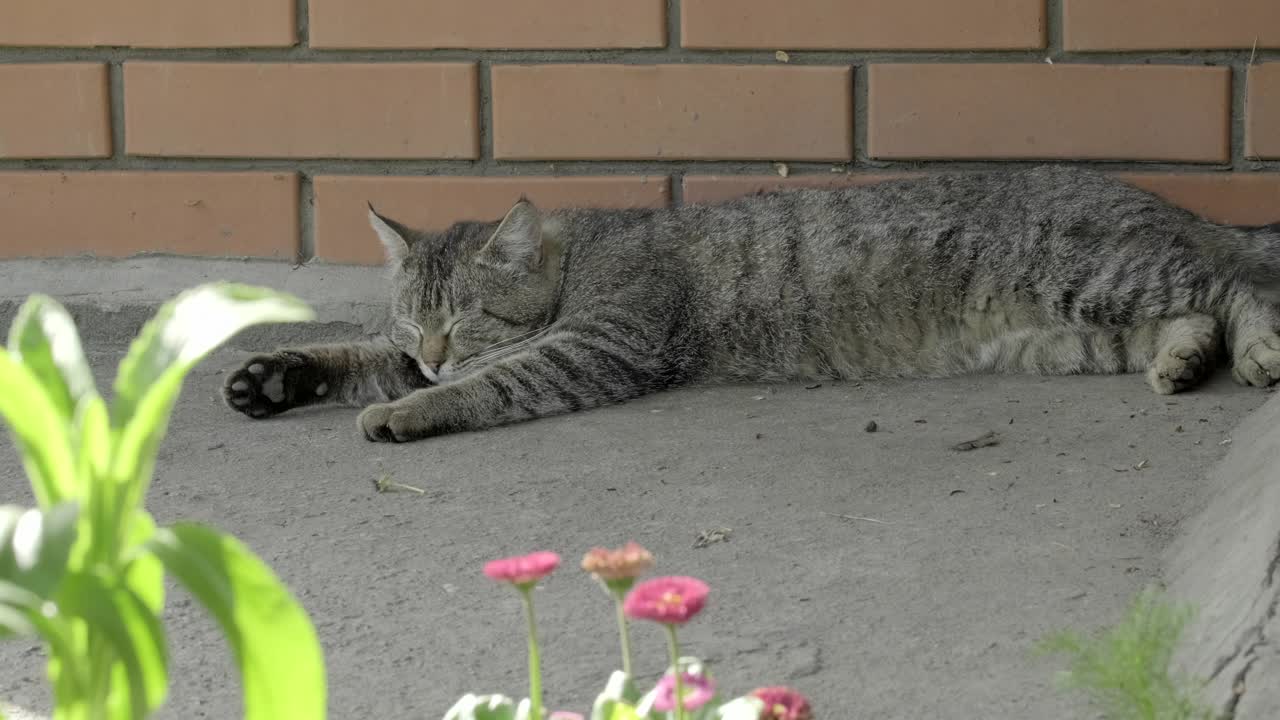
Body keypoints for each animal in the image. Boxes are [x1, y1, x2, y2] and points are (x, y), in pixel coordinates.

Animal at [225, 165, 1280, 440]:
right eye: (414, 320)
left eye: (467, 319)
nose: (435, 349)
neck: (583, 252)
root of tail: (1169, 203)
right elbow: (357, 359)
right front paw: (276, 375)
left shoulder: (601, 344)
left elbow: (486, 382)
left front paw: (411, 407)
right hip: (1081, 331)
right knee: (1193, 315)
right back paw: (1182, 359)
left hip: (1101, 277)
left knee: (1243, 283)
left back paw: (1258, 350)